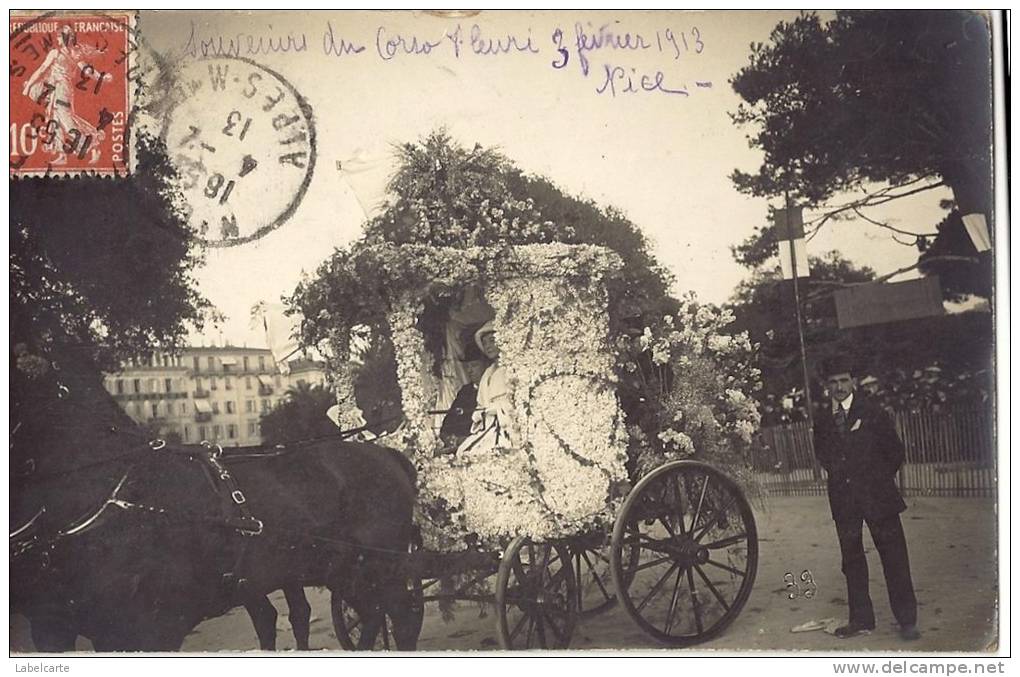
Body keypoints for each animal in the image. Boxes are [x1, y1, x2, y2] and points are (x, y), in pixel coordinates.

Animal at [12, 346, 418, 652]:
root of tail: (386, 454)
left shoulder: (153, 629)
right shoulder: (54, 628)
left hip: (380, 568)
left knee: (401, 618)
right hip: (343, 572)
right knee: (367, 616)